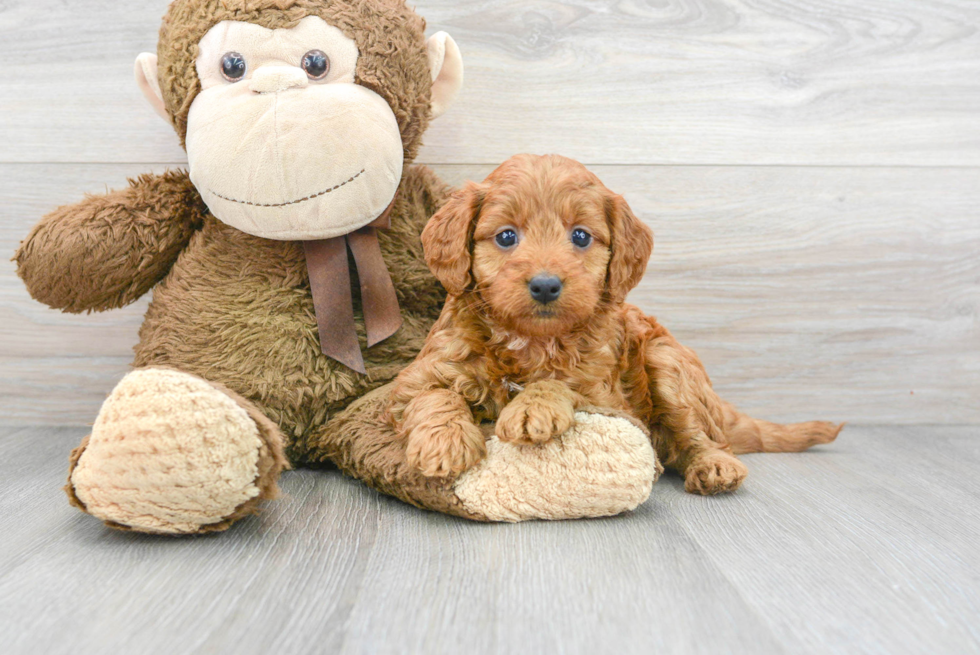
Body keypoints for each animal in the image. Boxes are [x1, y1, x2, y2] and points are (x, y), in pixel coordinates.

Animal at [382, 152, 844, 492]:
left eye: (581, 236)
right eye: (506, 236)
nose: (546, 285)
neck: (532, 341)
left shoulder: (607, 399)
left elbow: (560, 385)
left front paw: (533, 407)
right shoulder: (420, 375)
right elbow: (434, 396)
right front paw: (444, 442)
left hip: (667, 362)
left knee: (701, 438)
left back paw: (714, 467)